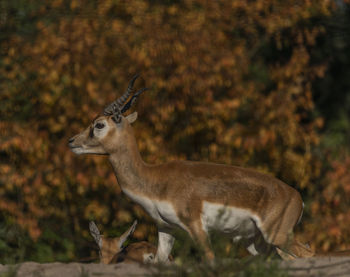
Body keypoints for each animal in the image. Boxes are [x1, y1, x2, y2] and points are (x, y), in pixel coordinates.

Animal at [67, 75, 312, 260]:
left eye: (99, 125)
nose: (71, 141)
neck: (155, 179)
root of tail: (297, 197)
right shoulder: (166, 229)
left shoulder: (197, 228)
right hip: (257, 243)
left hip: (276, 235)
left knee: (308, 253)